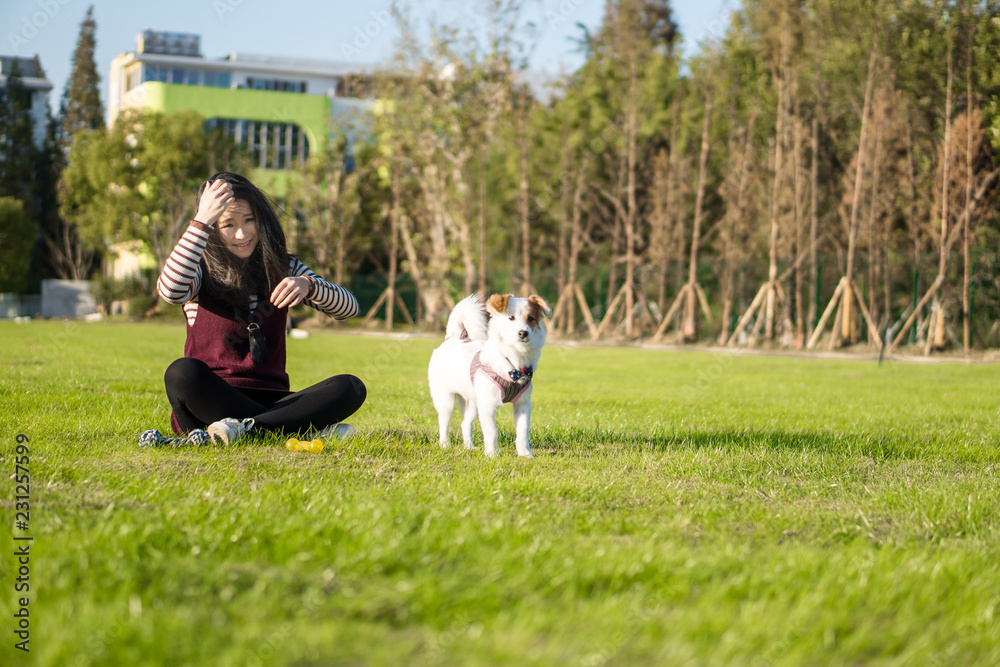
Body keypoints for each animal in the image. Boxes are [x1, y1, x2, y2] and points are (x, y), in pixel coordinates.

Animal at [430, 294, 556, 460]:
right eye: (511, 318)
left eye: (531, 318)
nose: (523, 333)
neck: (514, 363)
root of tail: (452, 338)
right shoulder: (488, 405)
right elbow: (492, 431)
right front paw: (492, 454)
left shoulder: (522, 404)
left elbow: (522, 431)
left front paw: (525, 453)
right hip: (446, 400)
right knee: (443, 422)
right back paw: (445, 445)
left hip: (473, 403)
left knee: (465, 423)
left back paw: (469, 446)